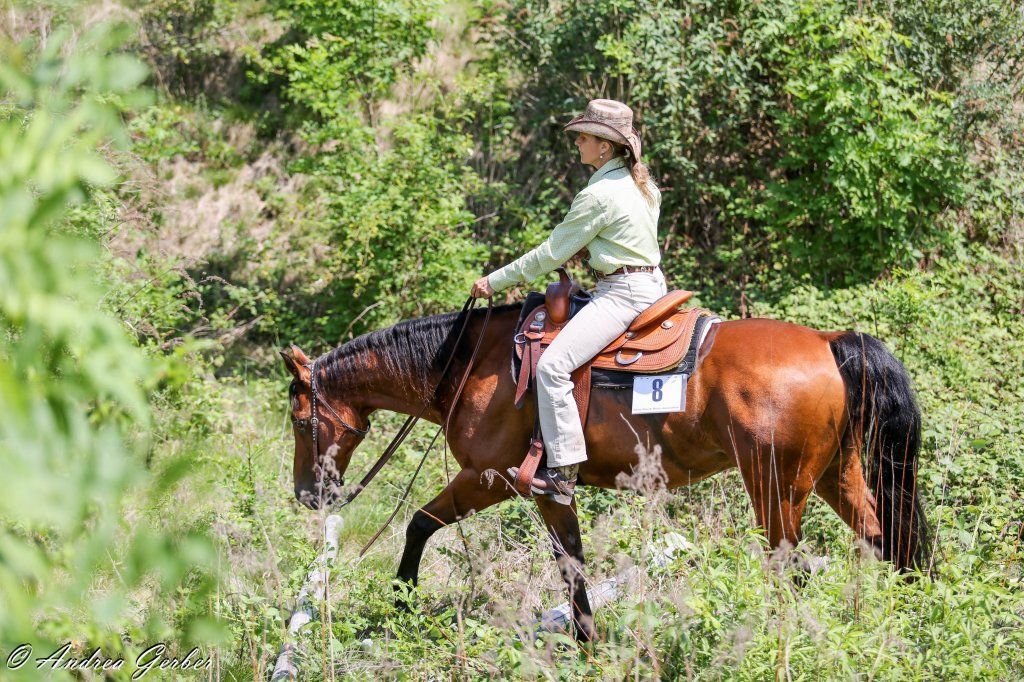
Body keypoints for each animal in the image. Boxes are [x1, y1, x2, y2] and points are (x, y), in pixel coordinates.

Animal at [279, 301, 929, 642]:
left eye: (298, 417)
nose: (309, 496)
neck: (469, 366)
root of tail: (829, 341)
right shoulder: (549, 492)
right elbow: (571, 563)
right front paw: (588, 641)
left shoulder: (490, 478)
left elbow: (419, 522)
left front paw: (402, 599)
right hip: (836, 475)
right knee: (888, 543)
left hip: (778, 487)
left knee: (789, 567)